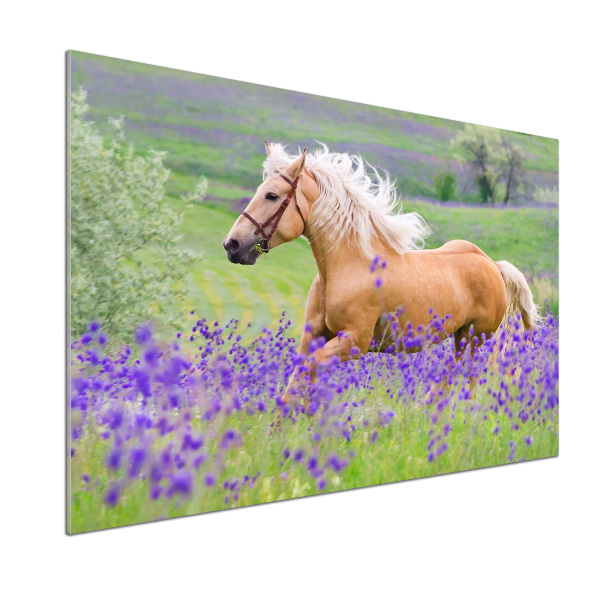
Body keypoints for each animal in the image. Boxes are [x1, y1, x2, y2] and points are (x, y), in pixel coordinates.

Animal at [223, 143, 540, 400]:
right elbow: (296, 384)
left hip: (473, 339)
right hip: (462, 338)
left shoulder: (355, 341)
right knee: (452, 377)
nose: (232, 245)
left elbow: (306, 375)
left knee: (468, 380)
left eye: (272, 195)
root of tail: (494, 266)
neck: (347, 268)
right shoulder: (313, 336)